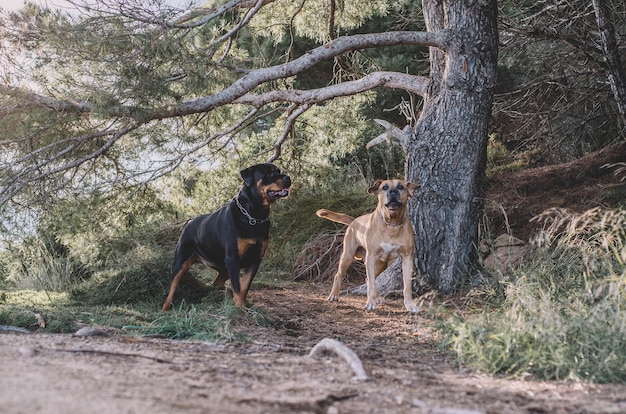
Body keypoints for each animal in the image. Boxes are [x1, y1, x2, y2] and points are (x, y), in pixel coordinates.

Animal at [160, 163, 288, 308]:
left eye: (278, 171)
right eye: (269, 173)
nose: (288, 178)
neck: (254, 216)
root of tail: (188, 223)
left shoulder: (255, 260)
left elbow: (244, 288)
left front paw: (242, 307)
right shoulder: (233, 259)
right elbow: (237, 289)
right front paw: (240, 310)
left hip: (223, 267)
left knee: (217, 283)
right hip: (181, 261)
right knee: (170, 290)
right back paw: (165, 308)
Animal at [316, 180, 420, 312]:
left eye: (401, 187)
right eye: (384, 187)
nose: (393, 191)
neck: (392, 224)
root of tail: (354, 220)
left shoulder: (407, 257)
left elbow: (407, 285)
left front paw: (410, 305)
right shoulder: (372, 257)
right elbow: (370, 283)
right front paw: (370, 303)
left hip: (381, 263)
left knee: (368, 279)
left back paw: (378, 297)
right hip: (348, 256)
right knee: (339, 275)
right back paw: (334, 295)